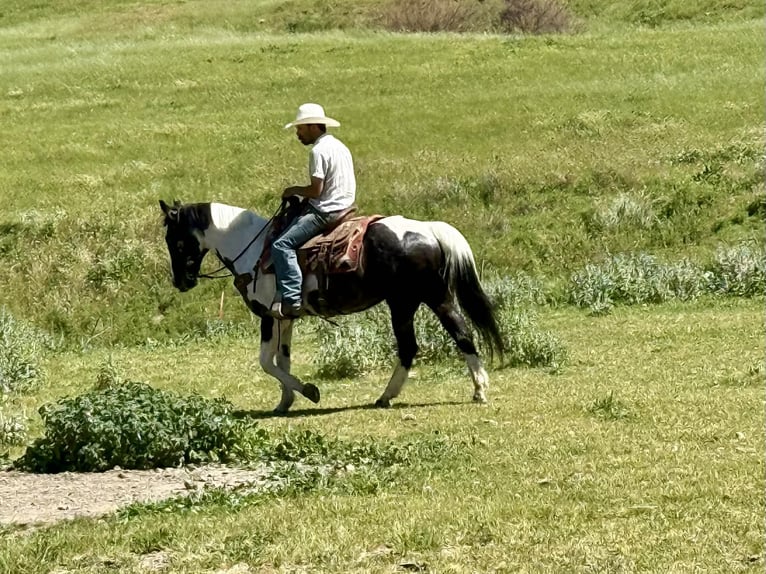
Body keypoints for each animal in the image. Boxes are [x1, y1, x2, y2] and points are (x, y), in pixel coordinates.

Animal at [159, 199, 505, 413]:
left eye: (174, 240)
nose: (181, 281)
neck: (254, 250)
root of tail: (429, 229)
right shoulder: (286, 318)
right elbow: (283, 360)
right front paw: (285, 402)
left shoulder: (268, 315)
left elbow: (266, 362)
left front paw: (308, 392)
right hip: (421, 300)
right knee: (439, 340)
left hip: (414, 301)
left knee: (437, 340)